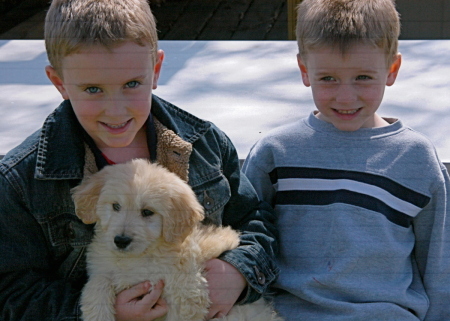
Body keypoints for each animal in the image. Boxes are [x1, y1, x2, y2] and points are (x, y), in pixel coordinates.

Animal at [71, 159, 282, 320]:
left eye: (147, 212)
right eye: (116, 206)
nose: (121, 240)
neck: (139, 257)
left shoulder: (187, 293)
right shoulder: (102, 269)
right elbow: (96, 286)